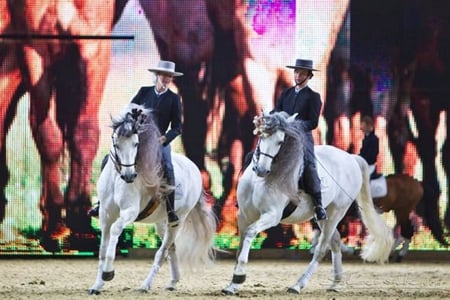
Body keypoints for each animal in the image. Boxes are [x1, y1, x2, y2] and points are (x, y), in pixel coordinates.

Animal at [89, 104, 216, 294]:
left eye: (136, 143)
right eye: (117, 144)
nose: (129, 176)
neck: (117, 178)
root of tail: (193, 167)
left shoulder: (129, 212)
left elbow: (115, 230)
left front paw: (108, 273)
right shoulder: (105, 213)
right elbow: (103, 250)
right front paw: (97, 285)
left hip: (177, 221)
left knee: (162, 252)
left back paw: (145, 285)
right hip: (161, 222)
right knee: (171, 247)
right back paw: (173, 281)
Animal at [222, 110, 394, 296]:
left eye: (280, 141)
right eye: (261, 136)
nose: (261, 170)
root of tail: (351, 158)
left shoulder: (271, 215)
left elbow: (250, 233)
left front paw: (239, 276)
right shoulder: (243, 216)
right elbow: (240, 245)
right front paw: (232, 285)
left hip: (337, 211)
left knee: (321, 249)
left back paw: (298, 285)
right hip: (323, 216)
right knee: (335, 241)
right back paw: (335, 283)